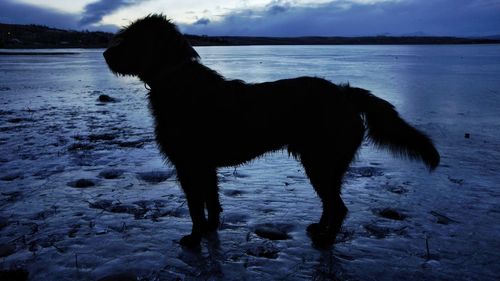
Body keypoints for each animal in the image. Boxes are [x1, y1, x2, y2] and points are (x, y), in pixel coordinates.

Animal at [103, 14, 440, 247]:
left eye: (133, 38)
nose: (106, 54)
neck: (177, 82)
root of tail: (344, 93)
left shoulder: (189, 165)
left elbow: (195, 207)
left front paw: (194, 239)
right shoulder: (206, 167)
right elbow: (212, 202)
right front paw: (211, 230)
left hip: (321, 162)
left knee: (339, 207)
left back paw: (326, 241)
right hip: (324, 165)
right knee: (331, 204)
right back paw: (319, 230)